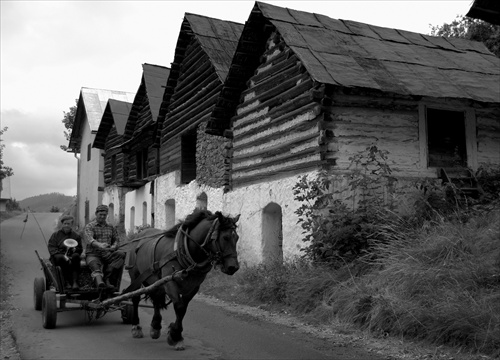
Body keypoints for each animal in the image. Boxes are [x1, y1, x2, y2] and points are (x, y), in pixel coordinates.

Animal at [123, 210, 240, 350]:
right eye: (225, 237)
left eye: (237, 238)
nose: (233, 267)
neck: (184, 250)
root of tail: (140, 234)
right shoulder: (170, 282)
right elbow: (179, 307)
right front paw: (175, 336)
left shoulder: (193, 287)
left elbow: (183, 309)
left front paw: (174, 332)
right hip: (136, 275)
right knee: (135, 298)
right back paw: (136, 326)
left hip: (156, 281)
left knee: (156, 298)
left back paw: (155, 326)